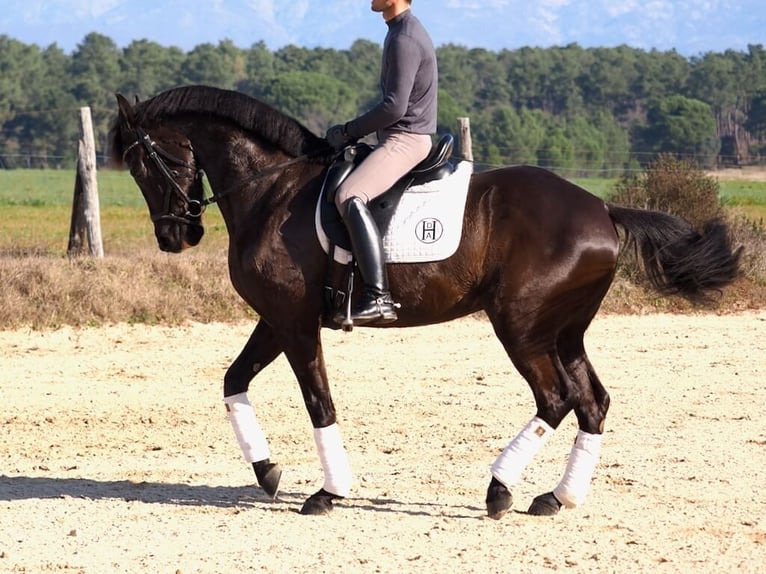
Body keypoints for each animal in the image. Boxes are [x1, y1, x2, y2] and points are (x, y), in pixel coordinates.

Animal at [109, 85, 744, 520]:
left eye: (145, 162)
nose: (174, 237)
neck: (271, 190)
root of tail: (602, 209)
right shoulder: (277, 318)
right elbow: (233, 380)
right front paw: (267, 472)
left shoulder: (294, 323)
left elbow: (318, 402)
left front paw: (328, 492)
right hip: (564, 331)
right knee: (592, 402)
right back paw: (555, 498)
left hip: (521, 327)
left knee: (557, 398)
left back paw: (500, 489)